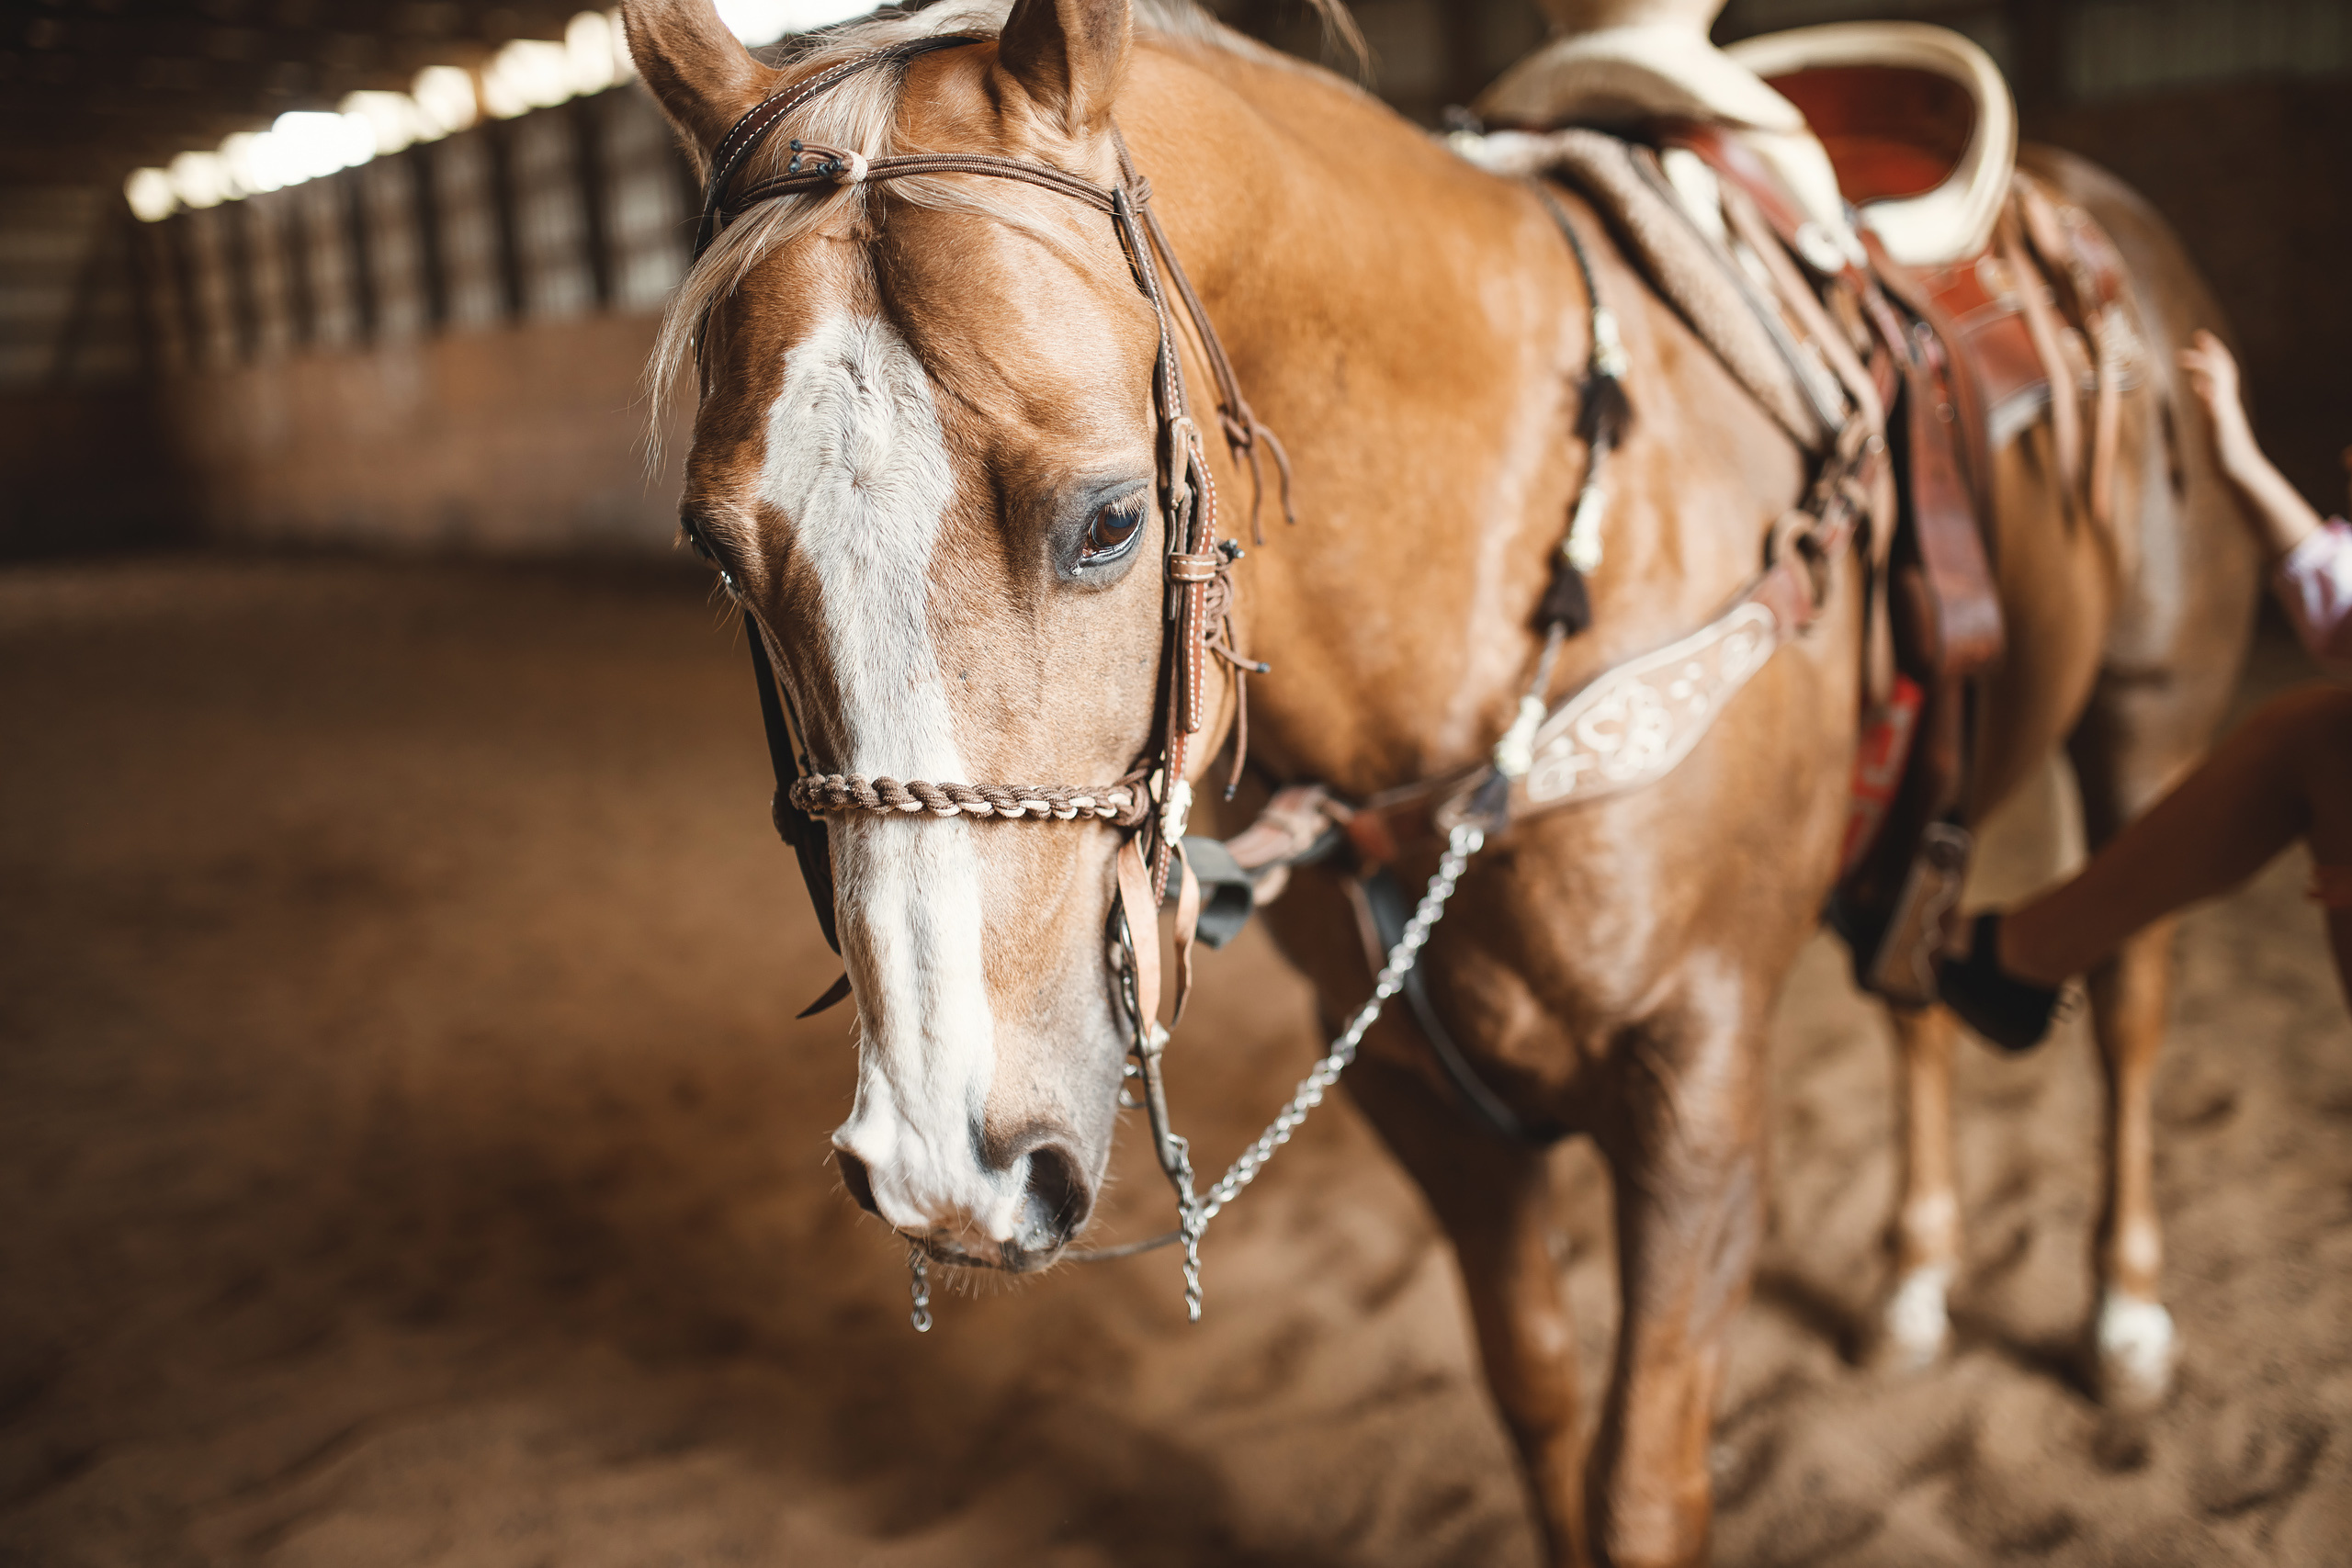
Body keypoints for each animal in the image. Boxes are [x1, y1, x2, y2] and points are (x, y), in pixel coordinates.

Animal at [620, 0, 2254, 1560]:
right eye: (722, 555)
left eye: (1110, 520)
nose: (942, 1156)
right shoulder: (1424, 1098)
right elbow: (1539, 1403)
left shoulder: (1699, 1088)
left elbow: (1642, 1484)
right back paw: (1915, 1279)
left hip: (2145, 724)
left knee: (2134, 1000)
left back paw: (2126, 1317)